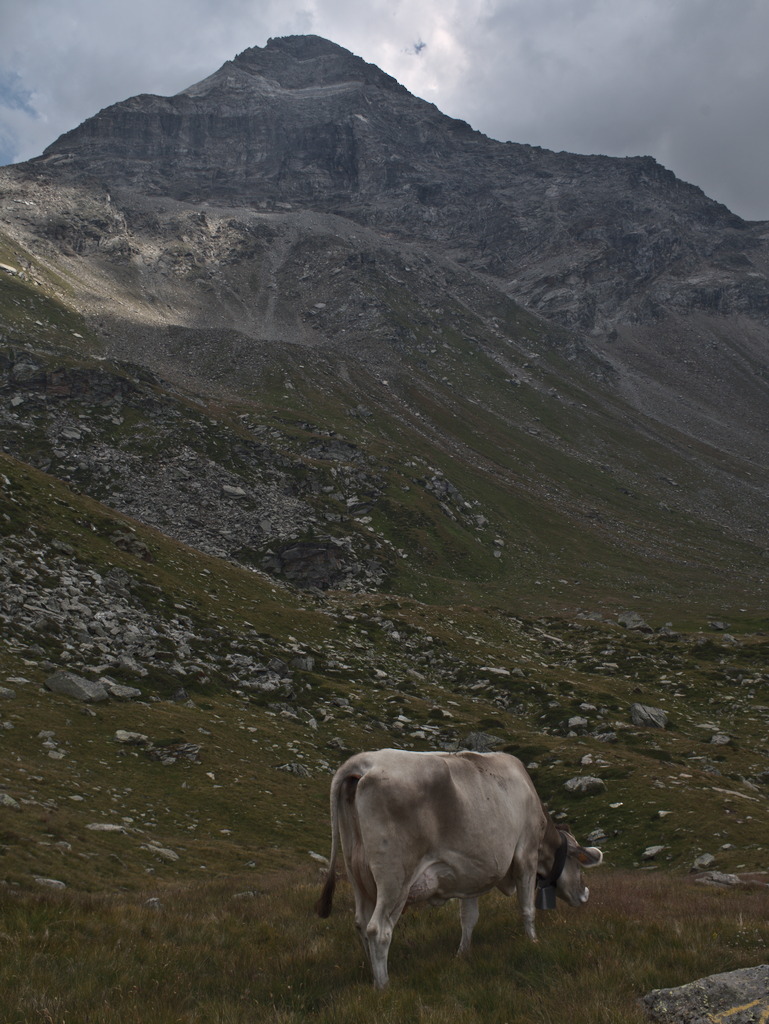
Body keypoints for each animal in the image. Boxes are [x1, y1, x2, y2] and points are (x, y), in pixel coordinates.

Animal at [315, 749, 606, 987]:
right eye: (578, 863)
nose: (585, 894)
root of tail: (364, 763)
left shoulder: (472, 874)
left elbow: (469, 918)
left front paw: (463, 953)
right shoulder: (526, 855)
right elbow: (527, 908)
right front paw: (533, 941)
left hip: (357, 874)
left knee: (361, 923)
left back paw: (372, 976)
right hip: (394, 876)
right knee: (378, 929)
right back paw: (383, 985)